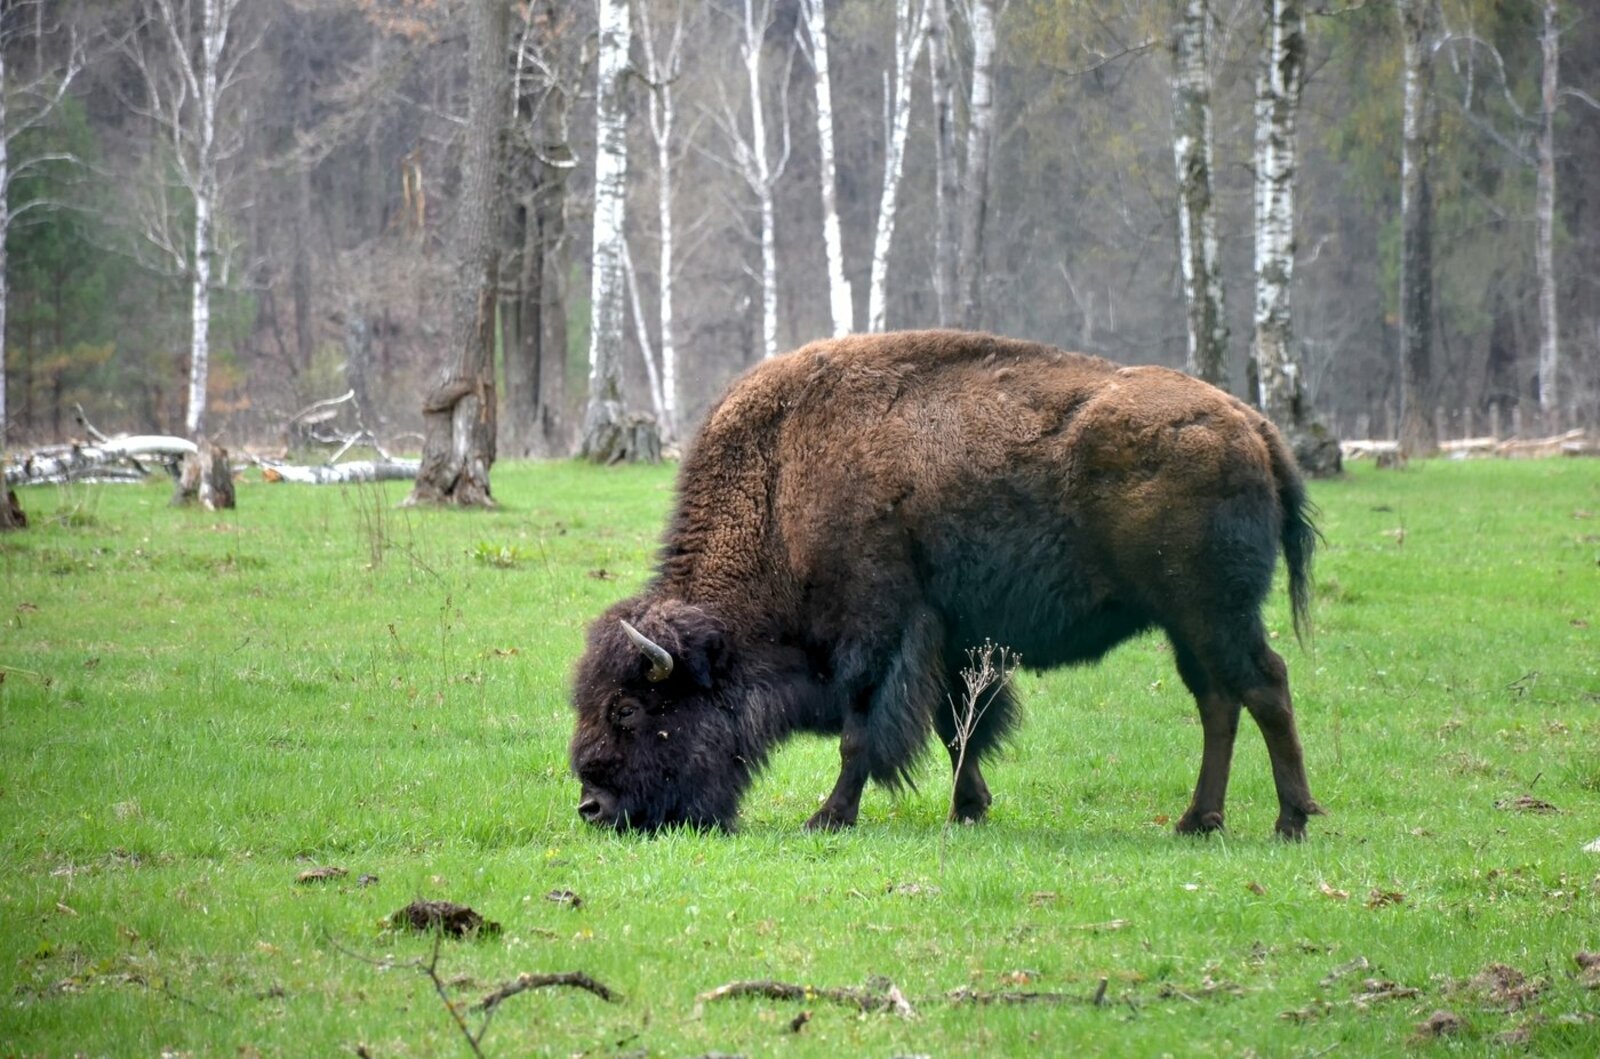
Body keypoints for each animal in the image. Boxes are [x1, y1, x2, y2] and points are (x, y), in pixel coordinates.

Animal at [569, 329, 1318, 838]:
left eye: (627, 709)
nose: (594, 807)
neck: (781, 485)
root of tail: (1253, 425)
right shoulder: (952, 642)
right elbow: (960, 726)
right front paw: (969, 808)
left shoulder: (877, 640)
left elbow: (864, 735)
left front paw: (828, 816)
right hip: (1189, 623)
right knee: (1220, 700)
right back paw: (1200, 820)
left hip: (1210, 613)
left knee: (1264, 686)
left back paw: (1290, 819)